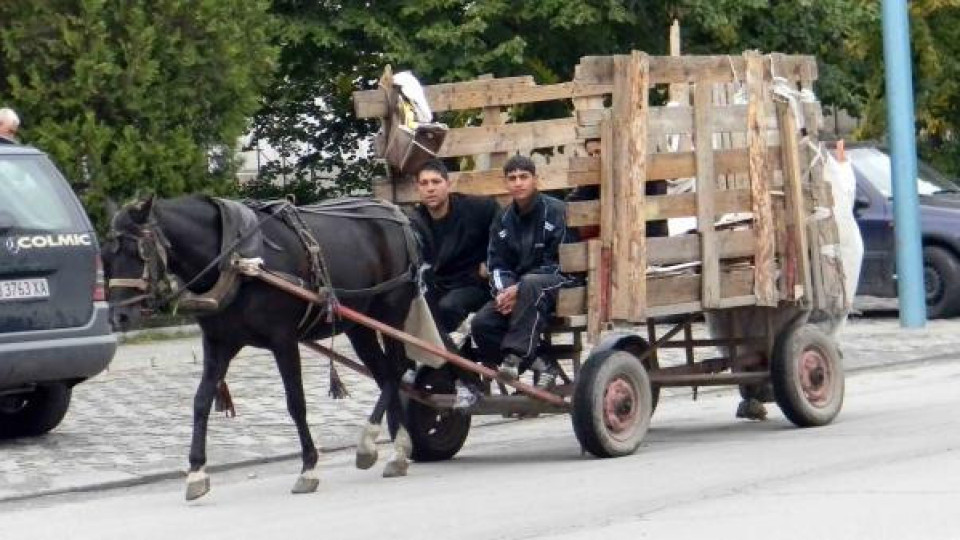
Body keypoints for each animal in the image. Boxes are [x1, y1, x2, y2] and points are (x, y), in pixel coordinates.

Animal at [103, 195, 422, 502]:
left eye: (138, 252)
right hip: (359, 325)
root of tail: (395, 212)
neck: (235, 261)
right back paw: (398, 448)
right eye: (105, 256)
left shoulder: (284, 341)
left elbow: (296, 403)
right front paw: (196, 472)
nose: (119, 316)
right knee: (384, 374)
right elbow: (201, 401)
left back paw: (372, 441)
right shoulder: (219, 343)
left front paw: (308, 467)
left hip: (391, 312)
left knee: (395, 371)